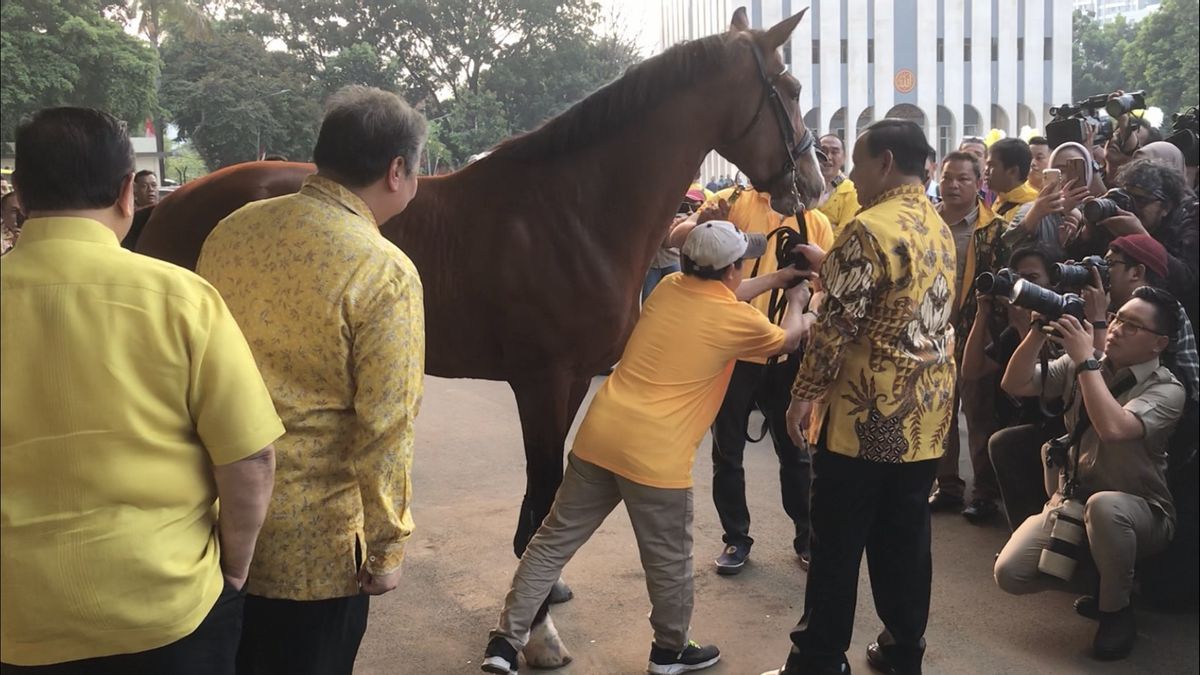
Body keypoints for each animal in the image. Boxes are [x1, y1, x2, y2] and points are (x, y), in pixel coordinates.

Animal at [136, 5, 820, 662]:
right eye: (789, 88)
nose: (812, 184)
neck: (573, 213)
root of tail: (170, 203)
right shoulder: (541, 381)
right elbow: (543, 490)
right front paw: (537, 633)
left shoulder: (574, 378)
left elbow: (544, 498)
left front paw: (543, 590)